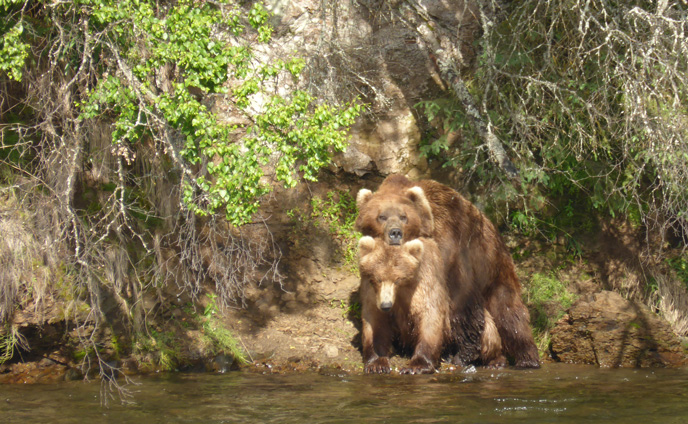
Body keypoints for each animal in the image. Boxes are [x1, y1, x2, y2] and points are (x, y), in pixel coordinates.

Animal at [358, 235, 502, 374]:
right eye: (378, 278)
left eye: (398, 279)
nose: (386, 305)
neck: (402, 292)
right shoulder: (372, 295)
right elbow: (375, 324)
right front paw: (377, 364)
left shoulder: (425, 285)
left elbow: (430, 319)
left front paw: (416, 366)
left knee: (485, 329)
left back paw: (493, 361)